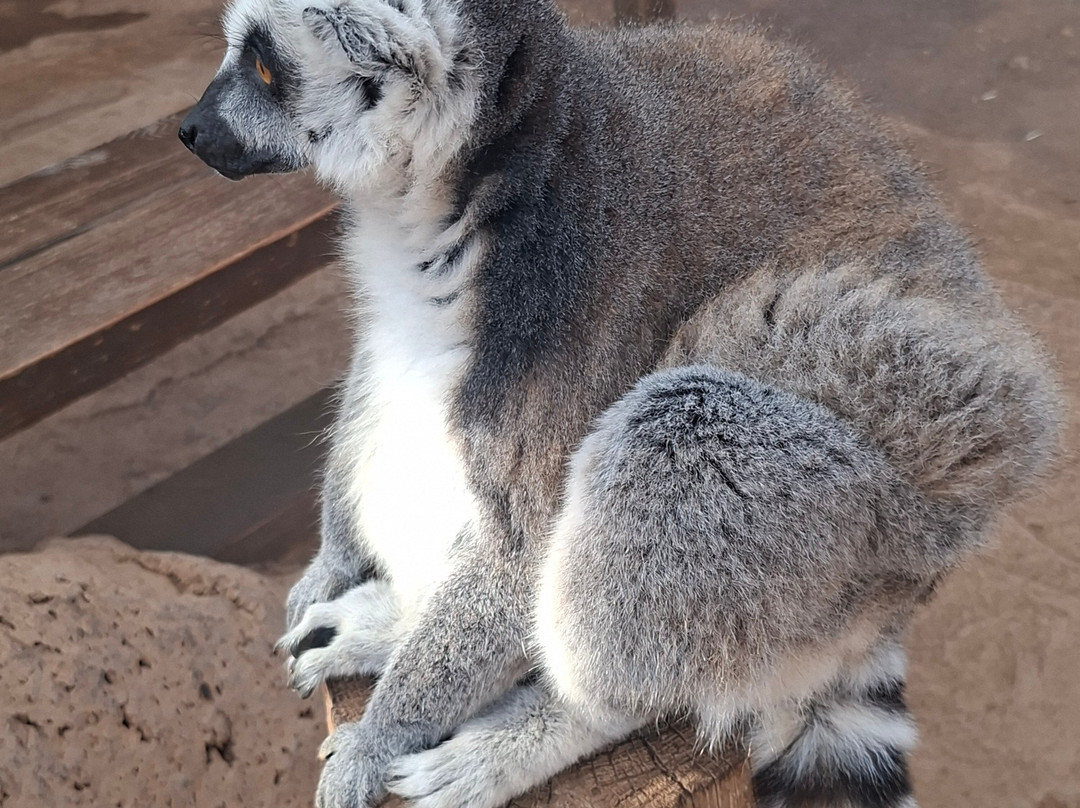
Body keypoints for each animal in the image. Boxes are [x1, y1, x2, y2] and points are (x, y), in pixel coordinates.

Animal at [179, 1, 1061, 806]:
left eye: (263, 67)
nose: (189, 129)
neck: (455, 184)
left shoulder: (566, 298)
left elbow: (522, 548)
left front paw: (377, 739)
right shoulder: (403, 308)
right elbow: (380, 367)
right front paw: (332, 566)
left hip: (869, 516)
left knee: (676, 434)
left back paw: (537, 729)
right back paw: (390, 621)